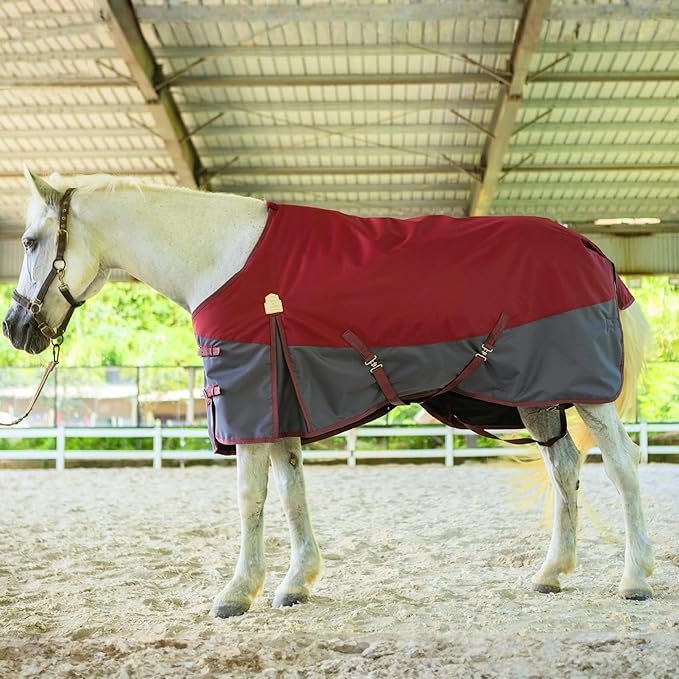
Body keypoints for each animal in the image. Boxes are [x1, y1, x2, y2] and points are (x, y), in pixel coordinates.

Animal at [2, 169, 654, 617]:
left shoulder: (248, 403)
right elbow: (292, 495)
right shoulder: (280, 404)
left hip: (587, 394)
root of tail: (589, 248)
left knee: (623, 467)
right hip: (539, 395)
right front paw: (295, 583)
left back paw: (636, 578)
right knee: (564, 468)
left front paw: (238, 592)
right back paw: (552, 572)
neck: (220, 255)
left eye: (31, 242)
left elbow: (250, 498)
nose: (15, 328)